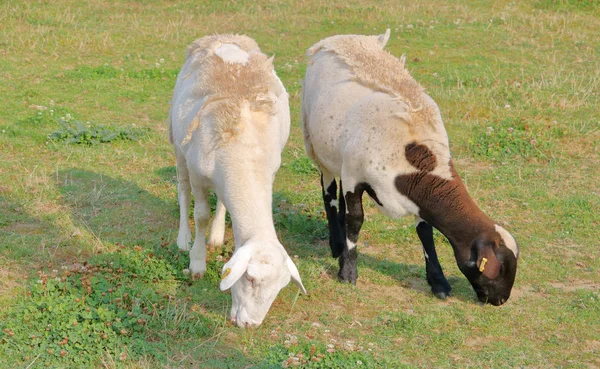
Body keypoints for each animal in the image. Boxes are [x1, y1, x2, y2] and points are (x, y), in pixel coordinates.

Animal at [169, 34, 308, 326]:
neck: (246, 156)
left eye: (280, 288)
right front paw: (197, 262)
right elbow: (200, 215)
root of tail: (222, 36)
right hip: (178, 145)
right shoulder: (198, 174)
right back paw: (183, 238)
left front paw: (215, 238)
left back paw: (216, 235)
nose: (249, 325)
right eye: (250, 279)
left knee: (222, 200)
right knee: (183, 191)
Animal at [302, 29, 516, 304]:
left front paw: (439, 282)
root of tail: (338, 39)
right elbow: (355, 220)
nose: (500, 301)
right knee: (329, 193)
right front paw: (347, 273)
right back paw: (337, 245)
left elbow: (425, 231)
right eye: (499, 268)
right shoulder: (354, 178)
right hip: (316, 146)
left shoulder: (416, 196)